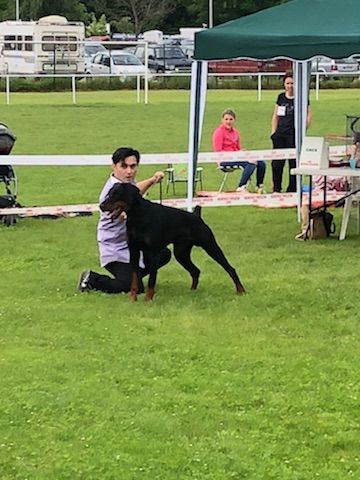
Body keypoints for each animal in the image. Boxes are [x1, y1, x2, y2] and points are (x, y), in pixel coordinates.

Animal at [100, 182, 246, 302]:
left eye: (117, 194)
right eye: (109, 193)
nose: (101, 206)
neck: (138, 216)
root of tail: (196, 215)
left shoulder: (154, 252)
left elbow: (152, 279)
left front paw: (148, 300)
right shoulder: (134, 251)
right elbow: (135, 279)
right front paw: (132, 300)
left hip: (210, 245)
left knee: (230, 268)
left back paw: (241, 291)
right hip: (181, 253)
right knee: (195, 271)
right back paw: (192, 292)